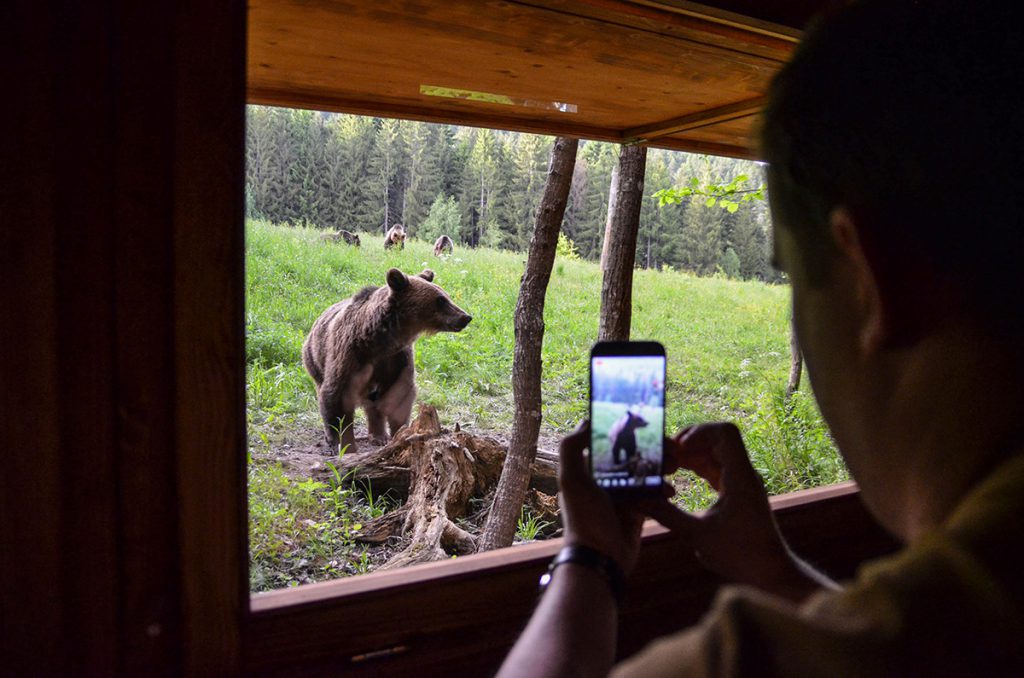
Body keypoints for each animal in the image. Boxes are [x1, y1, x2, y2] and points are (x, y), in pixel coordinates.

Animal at [299, 268, 468, 454]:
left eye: (446, 296)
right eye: (440, 300)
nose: (465, 317)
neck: (381, 341)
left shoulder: (397, 359)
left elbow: (400, 395)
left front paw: (400, 434)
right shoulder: (350, 355)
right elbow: (336, 396)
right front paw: (344, 444)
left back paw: (379, 435)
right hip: (314, 360)